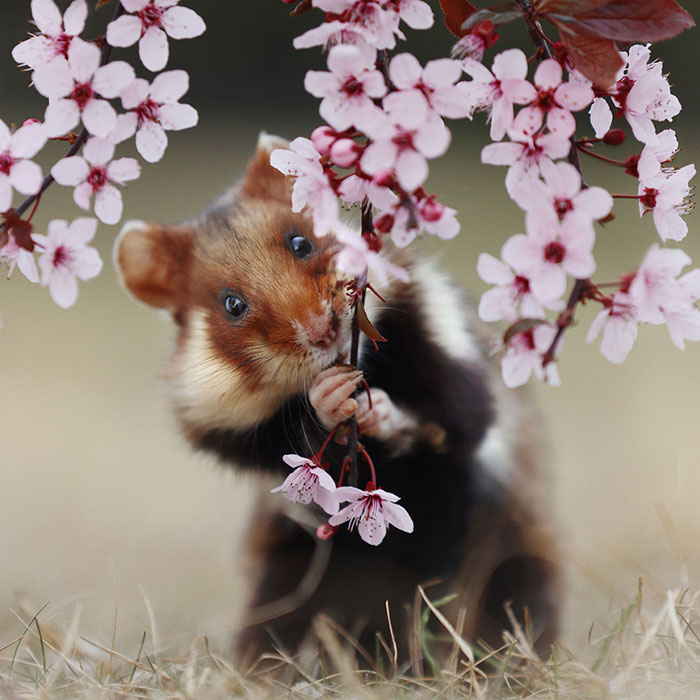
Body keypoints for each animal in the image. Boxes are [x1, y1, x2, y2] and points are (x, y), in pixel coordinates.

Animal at [115, 133, 561, 664]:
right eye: (232, 305)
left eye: (300, 242)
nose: (322, 331)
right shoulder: (226, 425)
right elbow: (296, 430)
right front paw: (331, 395)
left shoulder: (459, 370)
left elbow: (454, 417)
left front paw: (372, 407)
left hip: (510, 557)